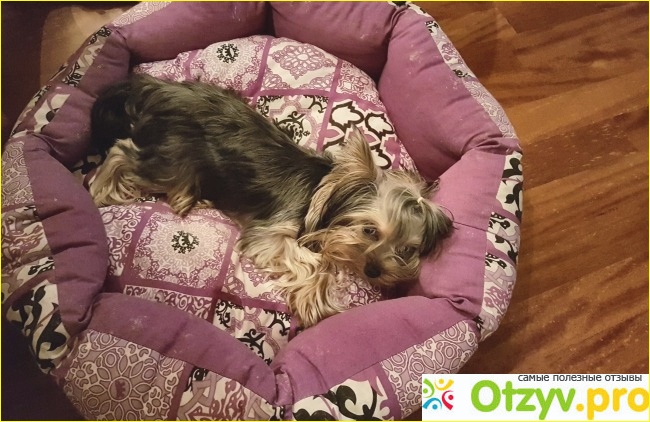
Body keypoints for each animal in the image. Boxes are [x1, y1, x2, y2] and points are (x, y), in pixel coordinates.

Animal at [89, 74, 453, 327]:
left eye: (406, 249)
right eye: (370, 231)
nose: (375, 271)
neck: (322, 193)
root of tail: (158, 87)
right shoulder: (269, 237)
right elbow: (317, 263)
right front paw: (315, 302)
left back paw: (187, 197)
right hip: (171, 156)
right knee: (121, 151)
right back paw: (103, 191)